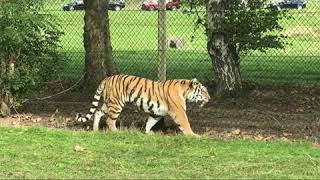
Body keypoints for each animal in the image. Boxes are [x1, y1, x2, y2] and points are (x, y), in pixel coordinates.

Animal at [75, 74, 210, 136]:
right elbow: (186, 124)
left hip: (108, 102)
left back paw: (95, 130)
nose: (209, 98)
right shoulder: (179, 111)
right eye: (203, 91)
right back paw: (116, 132)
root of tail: (107, 78)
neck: (185, 92)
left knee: (97, 112)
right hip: (116, 104)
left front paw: (147, 132)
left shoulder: (157, 112)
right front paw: (193, 135)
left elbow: (150, 121)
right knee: (109, 120)